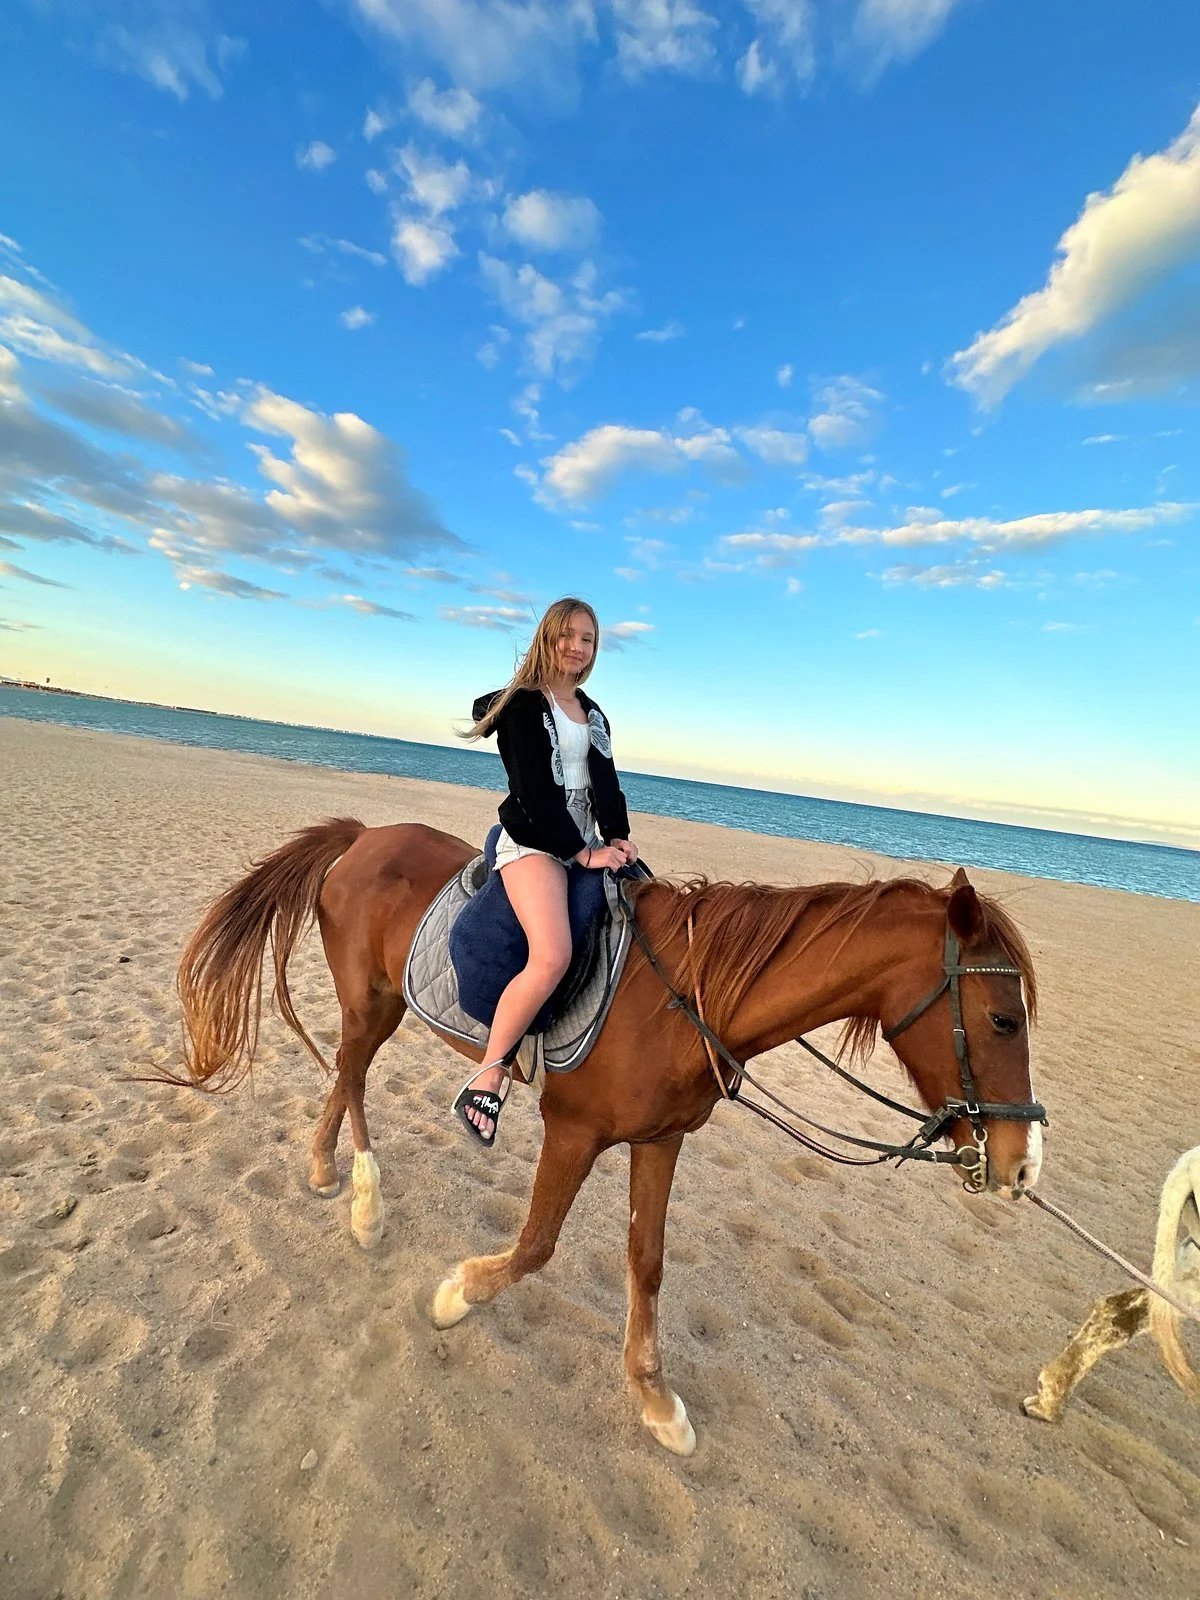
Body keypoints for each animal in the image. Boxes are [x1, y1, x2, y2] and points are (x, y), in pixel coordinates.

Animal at [172, 816, 1044, 1456]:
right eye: (1003, 1019)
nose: (1022, 1166)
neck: (683, 1001)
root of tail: (362, 836)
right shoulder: (574, 1132)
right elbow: (535, 1246)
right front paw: (457, 1295)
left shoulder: (661, 1140)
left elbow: (647, 1262)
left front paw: (655, 1399)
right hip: (370, 1000)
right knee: (353, 1078)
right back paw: (364, 1203)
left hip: (377, 1005)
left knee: (346, 1075)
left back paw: (326, 1169)